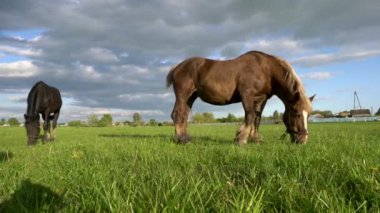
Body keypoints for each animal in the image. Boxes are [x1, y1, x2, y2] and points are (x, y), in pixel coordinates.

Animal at [166, 50, 314, 146]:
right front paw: (241, 139)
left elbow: (257, 118)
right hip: (183, 95)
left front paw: (255, 139)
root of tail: (176, 68)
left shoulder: (261, 99)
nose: (303, 140)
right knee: (177, 114)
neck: (265, 69)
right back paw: (183, 140)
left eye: (309, 115)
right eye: (296, 113)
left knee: (184, 116)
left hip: (191, 97)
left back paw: (184, 138)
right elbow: (250, 115)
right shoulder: (247, 95)